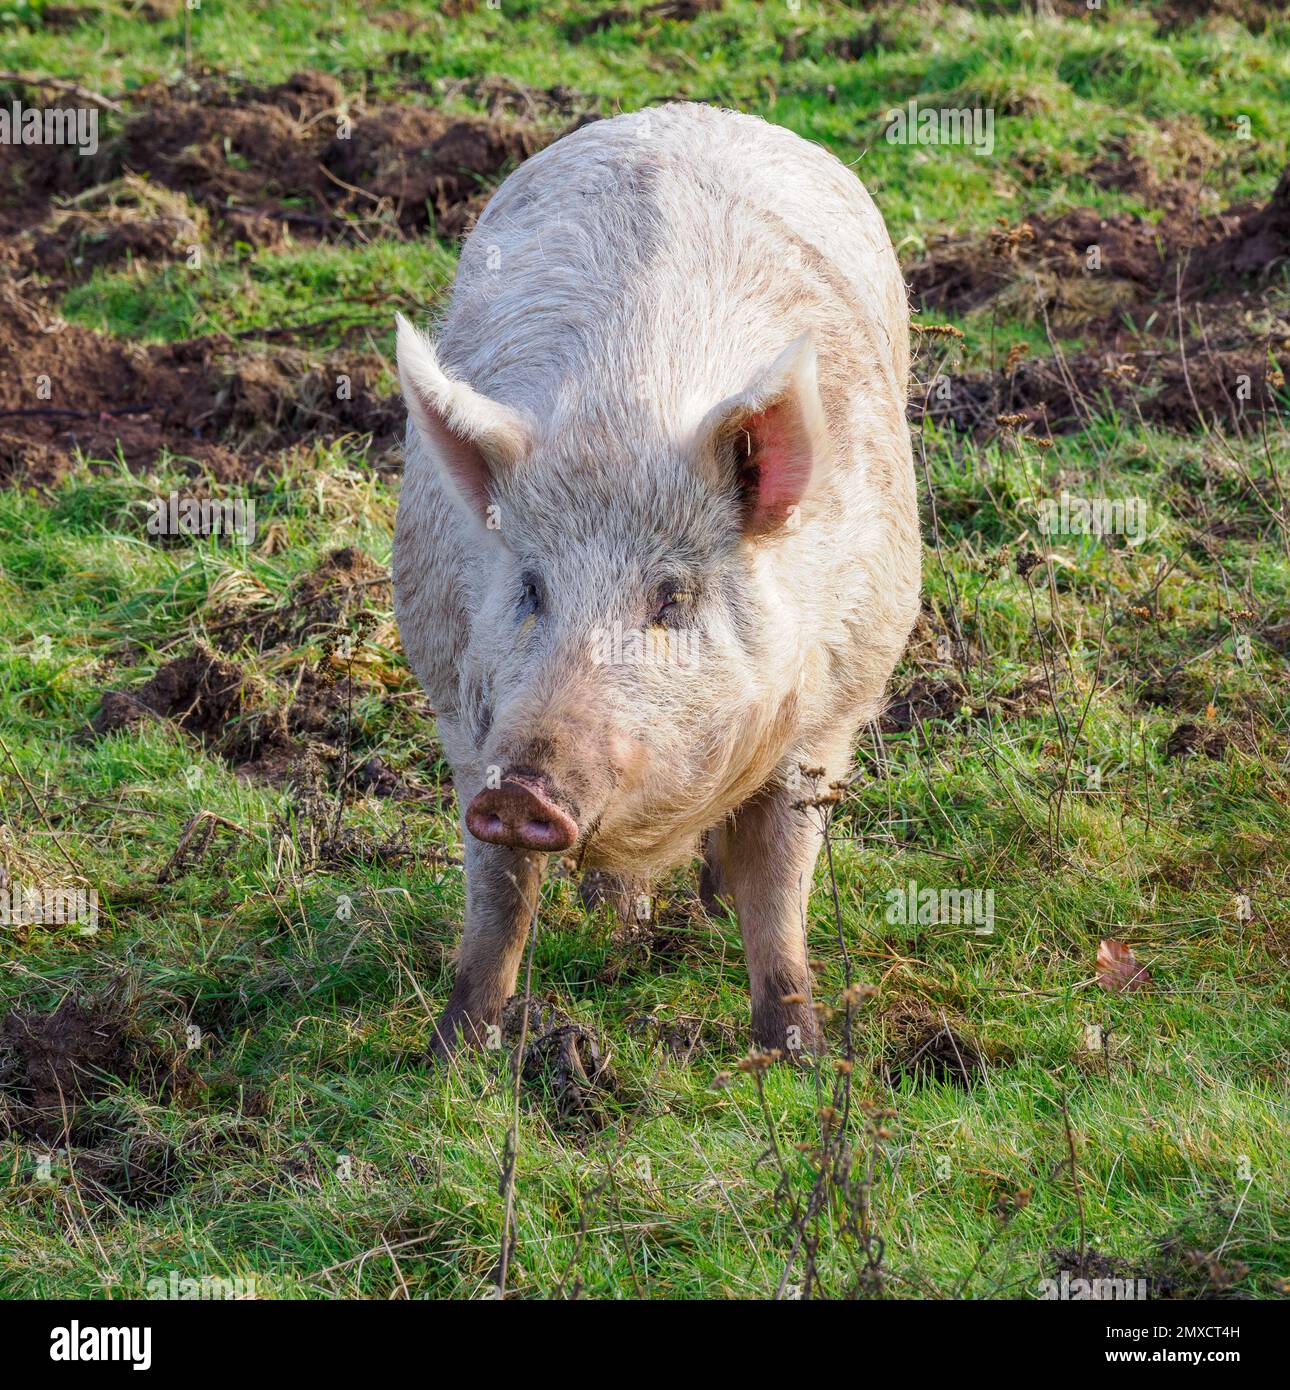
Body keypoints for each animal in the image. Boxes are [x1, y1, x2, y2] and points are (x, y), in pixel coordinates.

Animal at [389, 102, 917, 1056]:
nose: (524, 791)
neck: (625, 411)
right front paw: (454, 1052)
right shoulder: (463, 705)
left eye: (672, 596)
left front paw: (801, 1052)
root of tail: (677, 111)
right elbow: (497, 891)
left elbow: (779, 882)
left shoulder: (830, 714)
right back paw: (619, 923)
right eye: (531, 587)